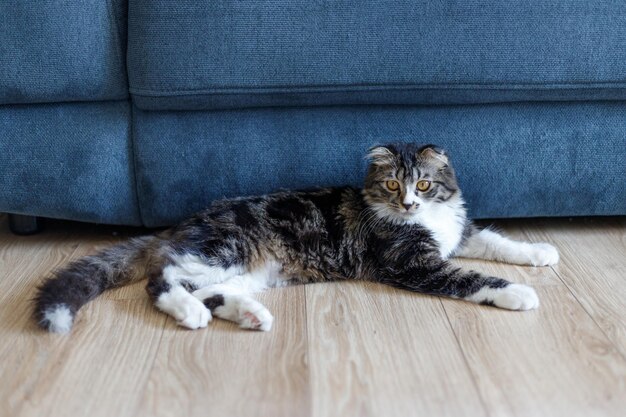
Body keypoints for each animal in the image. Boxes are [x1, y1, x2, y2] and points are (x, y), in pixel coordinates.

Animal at [36, 143, 560, 332]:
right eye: (394, 185)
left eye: (425, 185)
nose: (410, 204)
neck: (424, 221)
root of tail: (179, 226)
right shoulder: (412, 261)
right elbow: (473, 278)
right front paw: (519, 292)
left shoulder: (458, 232)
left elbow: (496, 242)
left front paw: (540, 252)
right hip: (225, 250)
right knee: (162, 281)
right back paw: (191, 315)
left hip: (248, 271)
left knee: (205, 291)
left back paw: (250, 315)